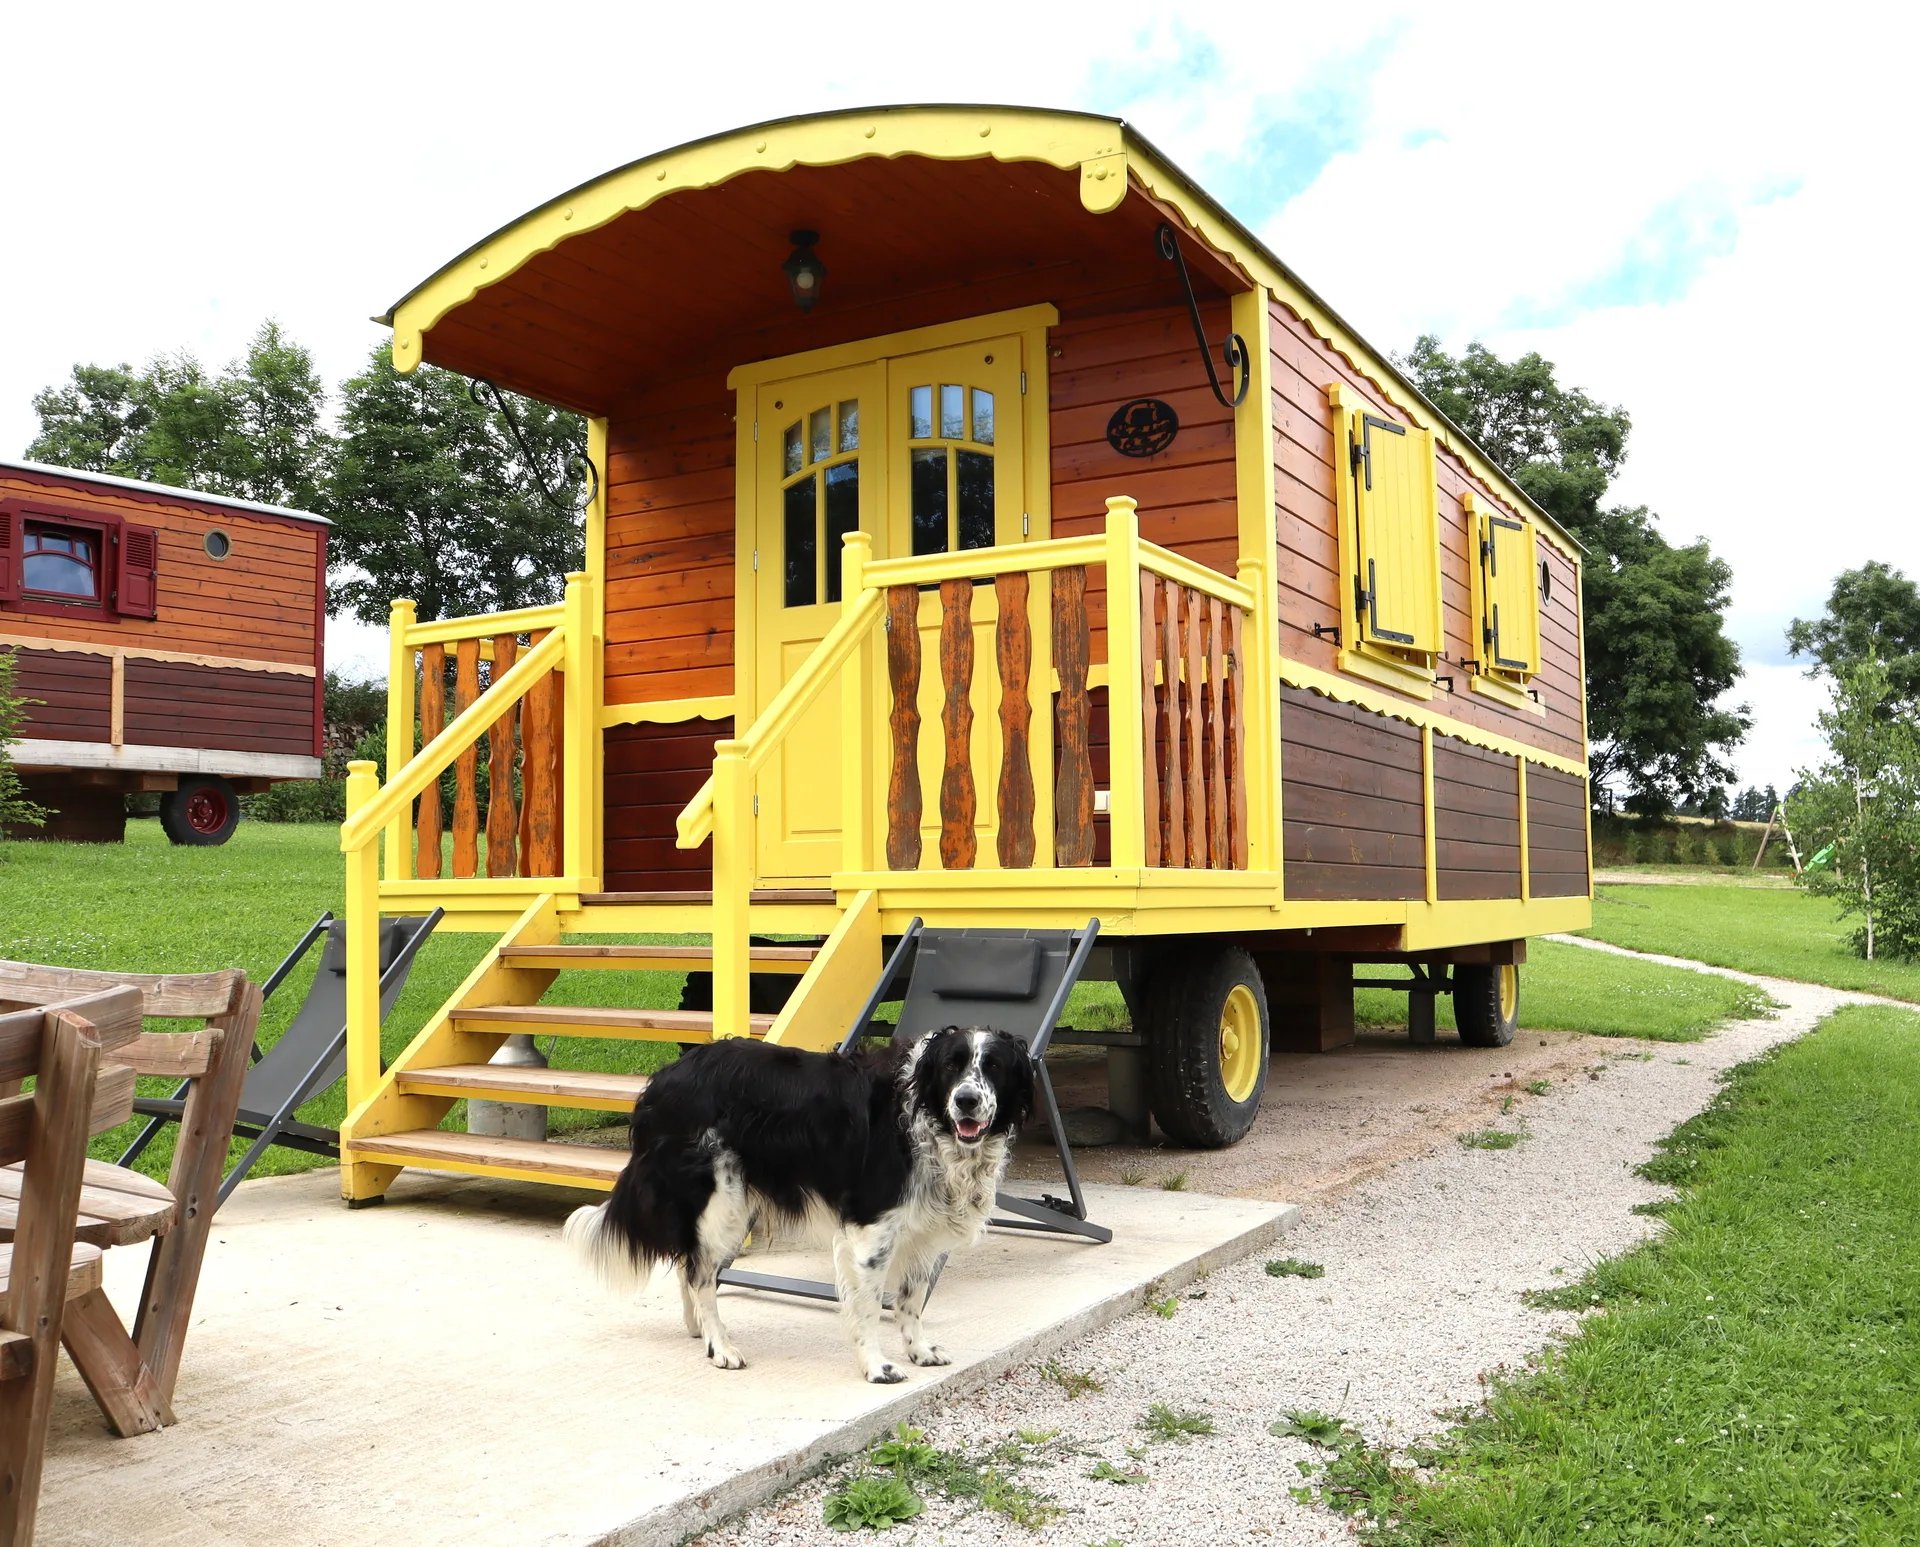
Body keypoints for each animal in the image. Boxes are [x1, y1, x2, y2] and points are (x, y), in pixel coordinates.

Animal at [560, 1028, 1029, 1381]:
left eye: (994, 1067)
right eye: (953, 1065)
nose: (966, 1100)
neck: (928, 1120)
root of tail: (664, 1078)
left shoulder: (922, 1231)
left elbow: (911, 1300)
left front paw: (919, 1350)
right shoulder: (872, 1227)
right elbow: (869, 1306)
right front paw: (876, 1367)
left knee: (688, 1262)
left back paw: (700, 1332)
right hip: (723, 1201)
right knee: (699, 1273)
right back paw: (721, 1345)